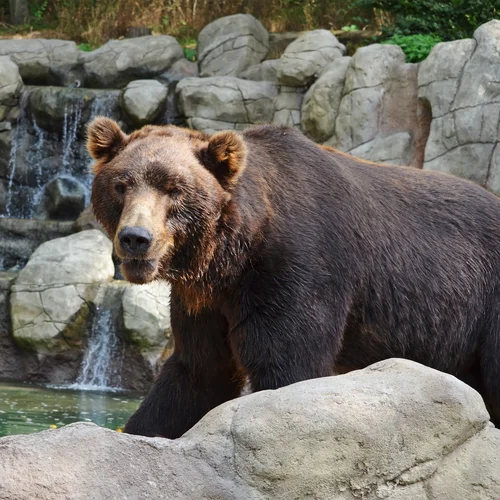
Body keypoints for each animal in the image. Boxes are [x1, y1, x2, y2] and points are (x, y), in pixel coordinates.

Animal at [88, 118, 500, 438]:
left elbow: (287, 361)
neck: (234, 255)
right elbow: (199, 370)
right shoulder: (205, 299)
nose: (136, 238)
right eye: (121, 185)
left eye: (174, 189)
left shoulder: (298, 265)